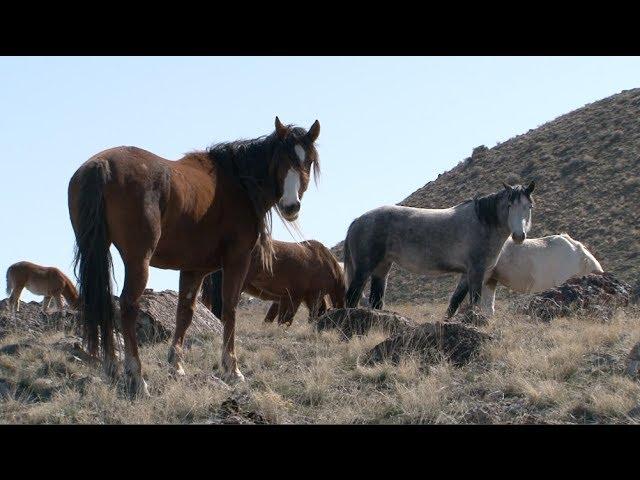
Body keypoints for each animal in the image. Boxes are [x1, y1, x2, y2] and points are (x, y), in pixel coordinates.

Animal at [67, 117, 320, 398]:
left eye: (308, 160)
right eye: (280, 160)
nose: (291, 206)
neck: (237, 182)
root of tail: (103, 165)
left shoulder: (193, 269)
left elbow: (185, 313)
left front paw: (176, 366)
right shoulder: (237, 261)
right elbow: (230, 309)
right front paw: (232, 368)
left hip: (98, 251)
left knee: (102, 302)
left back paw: (111, 367)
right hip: (138, 261)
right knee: (127, 306)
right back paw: (137, 376)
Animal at [344, 182, 536, 314]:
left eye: (529, 206)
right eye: (510, 205)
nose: (519, 236)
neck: (483, 222)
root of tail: (357, 221)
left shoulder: (466, 274)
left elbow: (454, 303)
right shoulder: (476, 271)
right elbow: (474, 301)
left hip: (382, 268)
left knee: (376, 301)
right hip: (364, 269)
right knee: (352, 297)